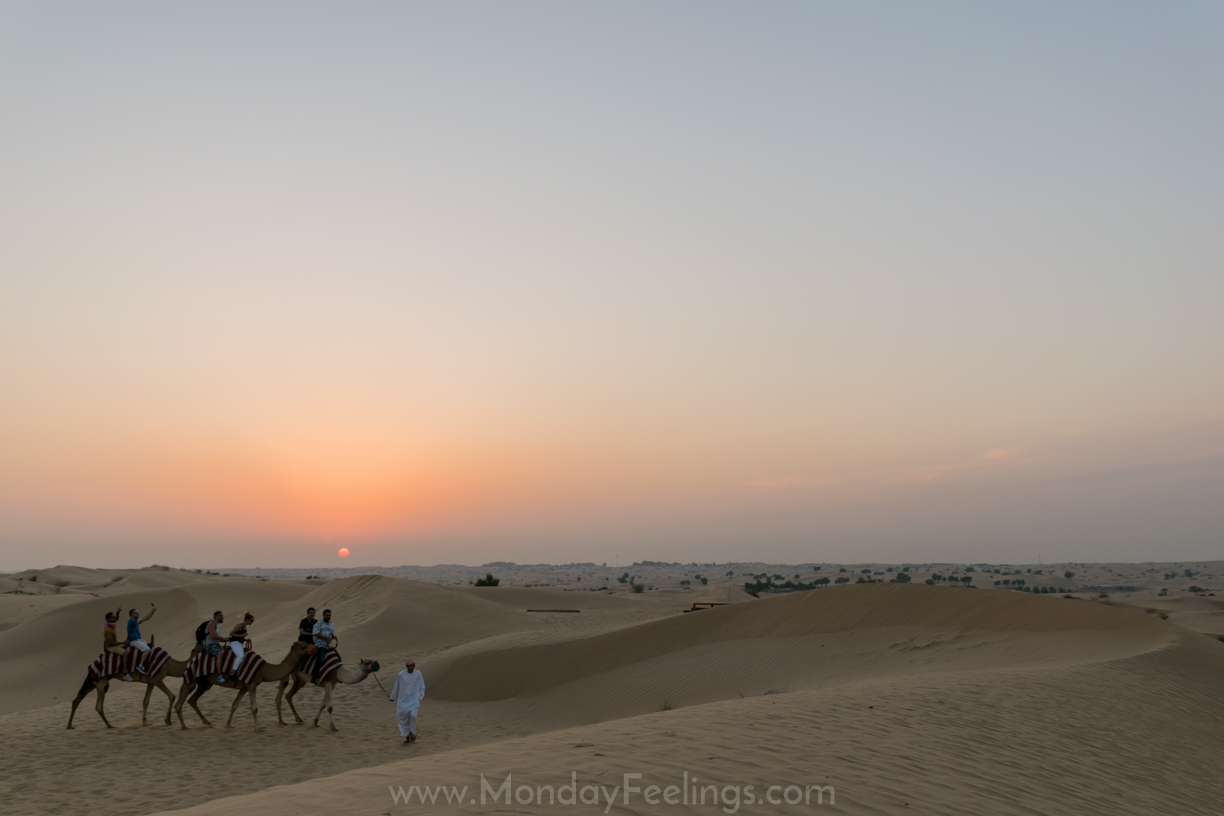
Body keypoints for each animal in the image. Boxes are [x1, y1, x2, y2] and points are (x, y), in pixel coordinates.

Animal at [177, 645, 310, 734]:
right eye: (302, 646)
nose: (311, 648)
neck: (264, 670)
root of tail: (192, 660)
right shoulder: (252, 684)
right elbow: (254, 707)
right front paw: (258, 728)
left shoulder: (244, 687)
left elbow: (235, 705)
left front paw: (228, 724)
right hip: (192, 678)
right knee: (180, 703)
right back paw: (184, 726)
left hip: (205, 683)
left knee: (192, 700)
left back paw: (207, 722)